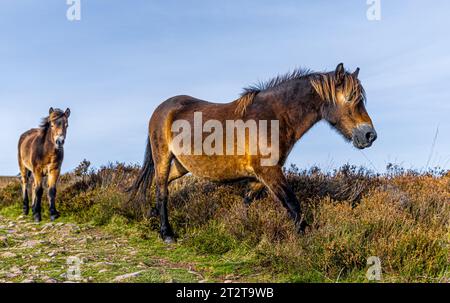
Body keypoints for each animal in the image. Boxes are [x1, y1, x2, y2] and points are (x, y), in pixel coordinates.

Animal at [129, 63, 376, 243]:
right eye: (351, 99)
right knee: (162, 189)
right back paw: (167, 233)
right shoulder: (269, 173)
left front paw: (240, 227)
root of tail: (162, 108)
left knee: (161, 183)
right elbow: (293, 204)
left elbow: (247, 202)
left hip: (181, 165)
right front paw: (308, 241)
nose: (369, 135)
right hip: (163, 157)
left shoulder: (260, 177)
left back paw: (151, 213)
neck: (273, 118)